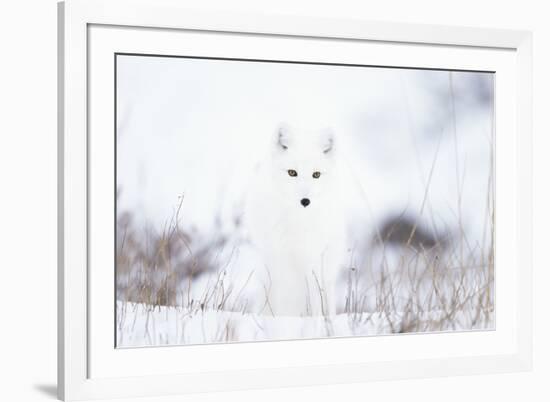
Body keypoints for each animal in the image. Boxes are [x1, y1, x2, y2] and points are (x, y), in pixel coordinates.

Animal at [247, 122, 350, 318]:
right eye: (292, 173)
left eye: (316, 175)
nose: (305, 201)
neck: (299, 224)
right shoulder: (282, 259)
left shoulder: (313, 259)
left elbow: (317, 299)